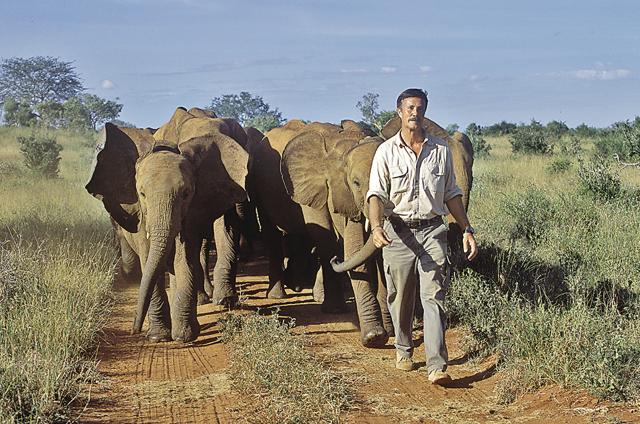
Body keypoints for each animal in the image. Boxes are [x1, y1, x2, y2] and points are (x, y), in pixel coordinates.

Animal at [86, 107, 248, 342]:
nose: (134, 330)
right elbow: (148, 258)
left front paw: (184, 335)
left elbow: (186, 256)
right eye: (142, 194)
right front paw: (159, 337)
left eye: (186, 193)